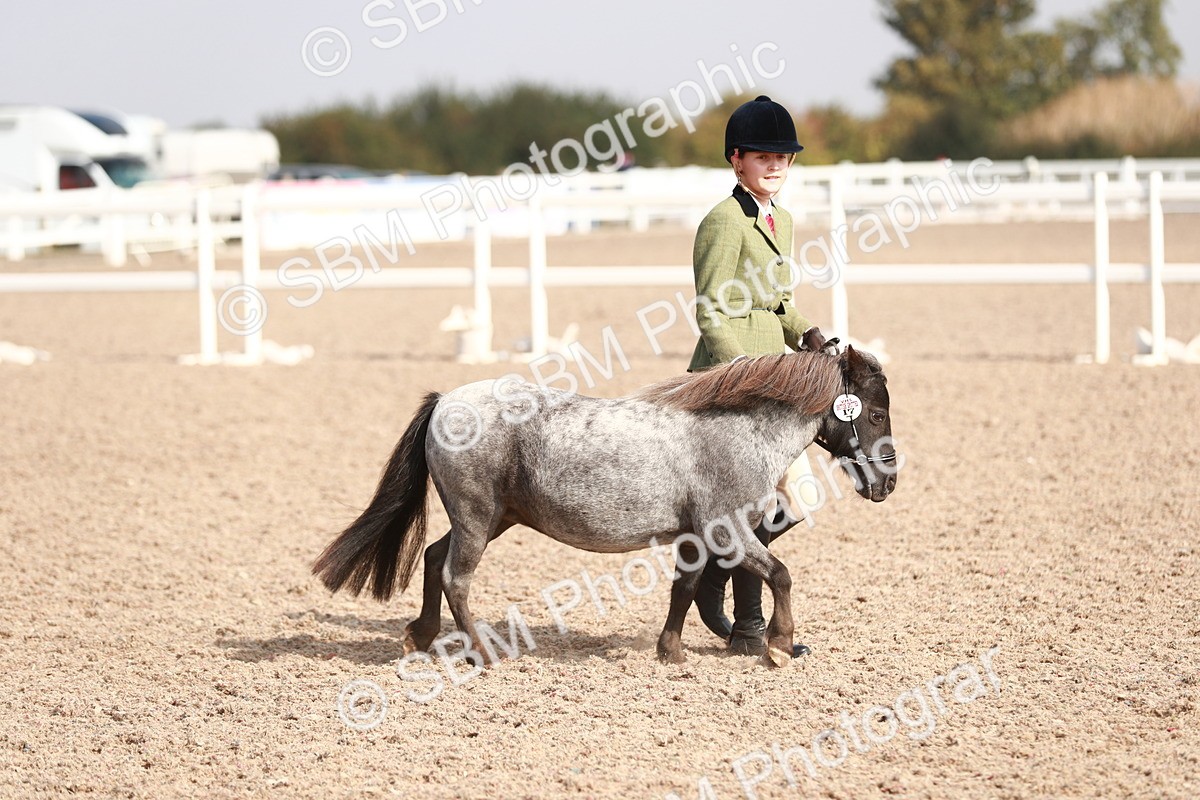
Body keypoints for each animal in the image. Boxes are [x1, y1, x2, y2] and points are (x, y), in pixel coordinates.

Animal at [312, 345, 897, 668]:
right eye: (874, 413)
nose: (887, 482)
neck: (736, 431)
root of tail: (445, 402)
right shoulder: (728, 531)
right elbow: (780, 574)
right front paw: (778, 645)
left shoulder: (696, 538)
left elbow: (685, 588)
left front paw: (670, 651)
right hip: (477, 519)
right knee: (457, 577)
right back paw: (482, 651)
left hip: (490, 518)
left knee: (434, 558)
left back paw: (421, 635)